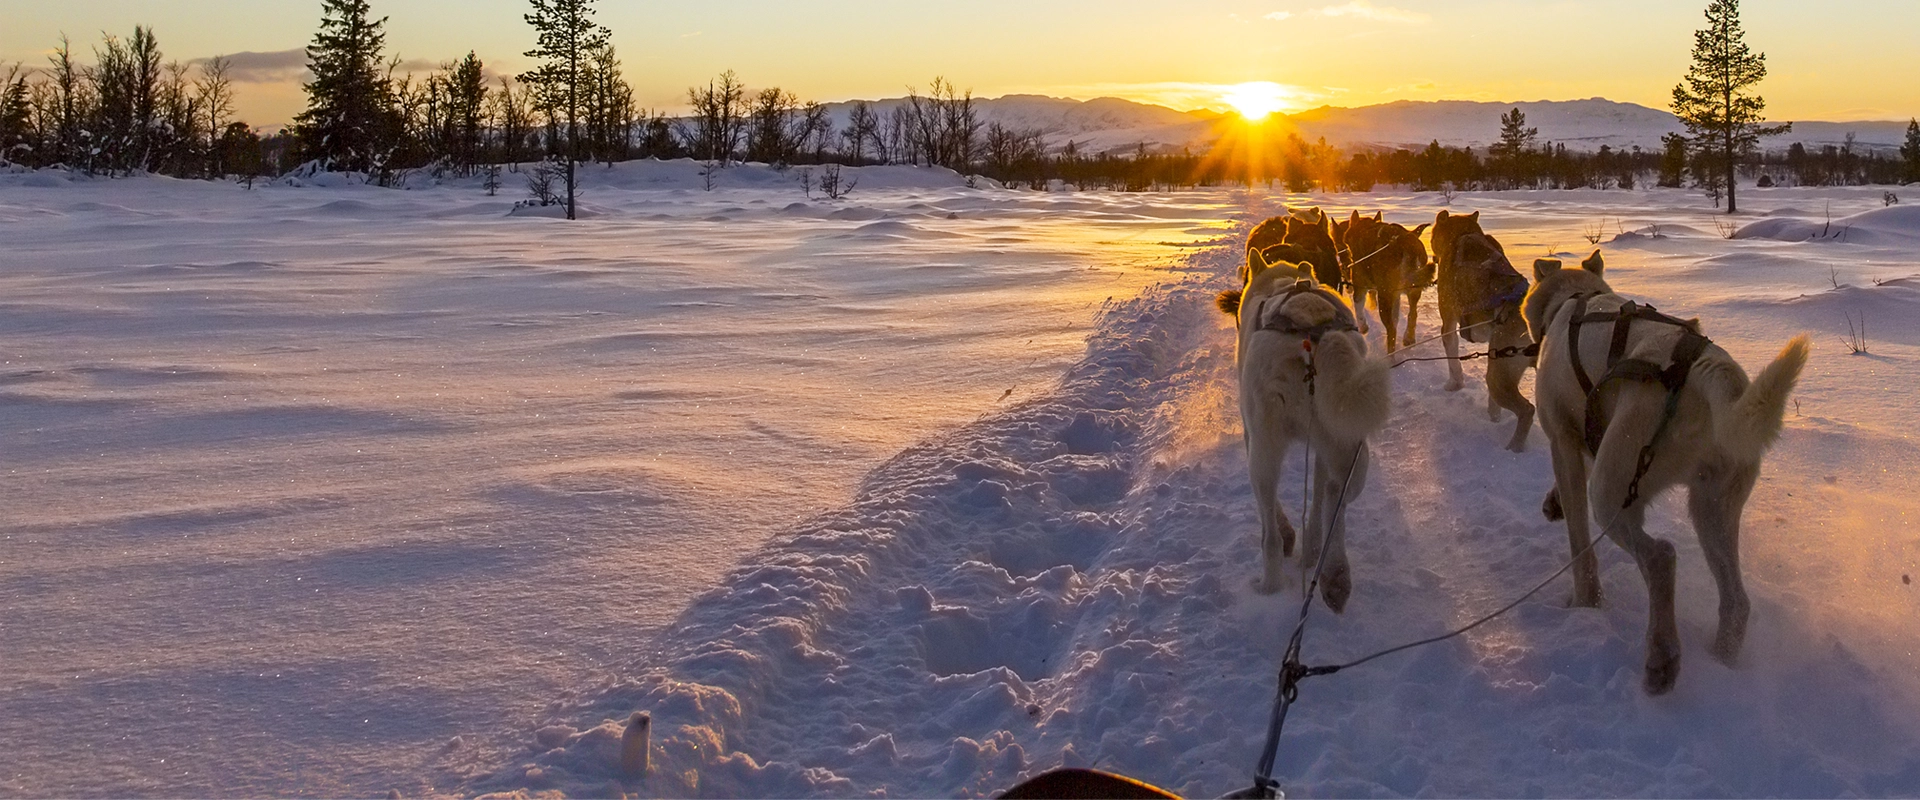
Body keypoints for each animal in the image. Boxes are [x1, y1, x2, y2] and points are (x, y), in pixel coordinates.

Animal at [1221, 247, 1390, 606]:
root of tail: (1314, 337)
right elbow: (1319, 498)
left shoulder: (1251, 435)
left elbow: (1275, 515)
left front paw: (1288, 537)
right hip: (1347, 446)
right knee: (1334, 501)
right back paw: (1333, 573)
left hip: (1265, 450)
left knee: (1270, 530)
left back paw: (1270, 585)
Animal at [1344, 209, 1436, 352]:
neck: (1365, 230)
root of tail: (1406, 241)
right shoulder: (1396, 295)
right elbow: (1397, 316)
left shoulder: (1360, 283)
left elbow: (1358, 304)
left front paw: (1363, 327)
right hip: (1413, 290)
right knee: (1412, 314)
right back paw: (1408, 338)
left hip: (1384, 295)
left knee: (1392, 330)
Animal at [1436, 210, 1536, 448]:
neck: (1463, 233)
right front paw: (1494, 415)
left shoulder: (1449, 321)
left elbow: (1453, 360)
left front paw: (1454, 384)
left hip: (1499, 377)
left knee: (1527, 410)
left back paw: (1514, 448)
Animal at [1520, 253, 1804, 690]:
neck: (1575, 299)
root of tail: (1706, 369)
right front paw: (1553, 502)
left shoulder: (1564, 442)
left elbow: (1580, 546)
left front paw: (1584, 604)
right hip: (1712, 506)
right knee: (1735, 601)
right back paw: (1720, 661)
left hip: (1613, 493)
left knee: (1661, 557)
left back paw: (1662, 656)